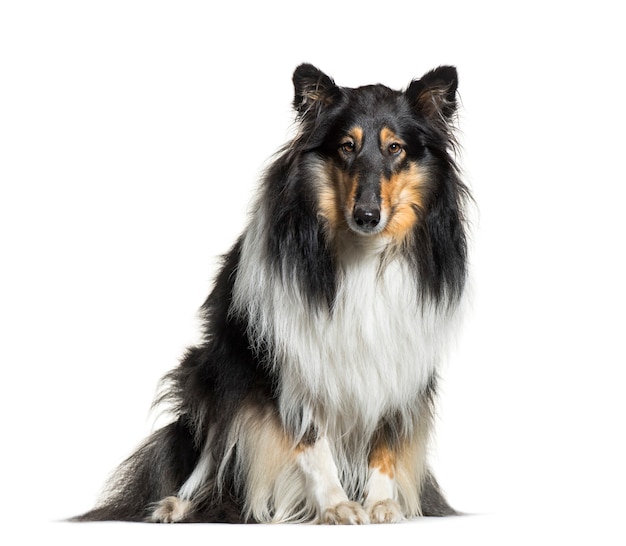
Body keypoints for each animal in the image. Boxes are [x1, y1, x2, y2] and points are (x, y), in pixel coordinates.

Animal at [77, 63, 468, 524]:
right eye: (347, 146)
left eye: (395, 148)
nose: (367, 215)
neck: (362, 255)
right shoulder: (285, 361)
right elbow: (310, 440)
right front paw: (336, 504)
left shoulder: (401, 357)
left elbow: (386, 441)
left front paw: (381, 503)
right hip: (215, 367)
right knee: (213, 449)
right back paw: (178, 504)